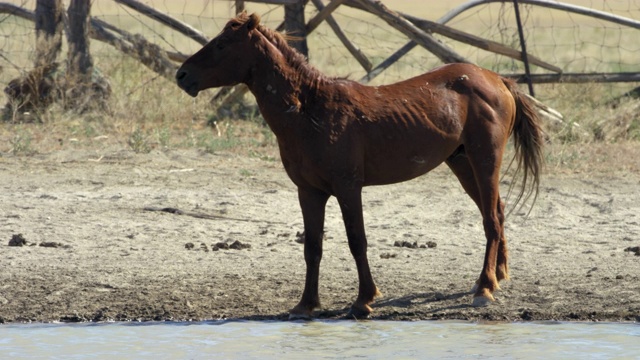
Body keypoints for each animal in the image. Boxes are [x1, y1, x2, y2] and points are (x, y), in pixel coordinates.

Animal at [178, 12, 544, 320]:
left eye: (222, 44)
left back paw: (484, 288)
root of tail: (498, 79)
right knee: (496, 212)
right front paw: (305, 305)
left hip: (484, 161)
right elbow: (312, 247)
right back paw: (496, 277)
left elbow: (357, 241)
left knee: (491, 219)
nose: (182, 75)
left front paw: (363, 300)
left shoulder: (347, 187)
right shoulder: (308, 192)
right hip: (463, 163)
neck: (310, 110)